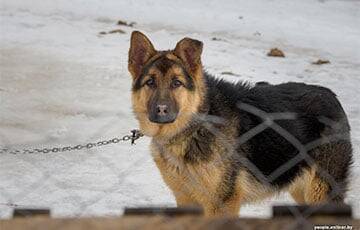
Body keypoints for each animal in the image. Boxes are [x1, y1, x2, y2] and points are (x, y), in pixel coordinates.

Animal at [128, 31, 352, 217]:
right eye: (150, 82)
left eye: (177, 83)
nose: (161, 110)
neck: (197, 124)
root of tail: (332, 96)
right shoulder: (185, 199)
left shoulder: (221, 204)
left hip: (320, 192)